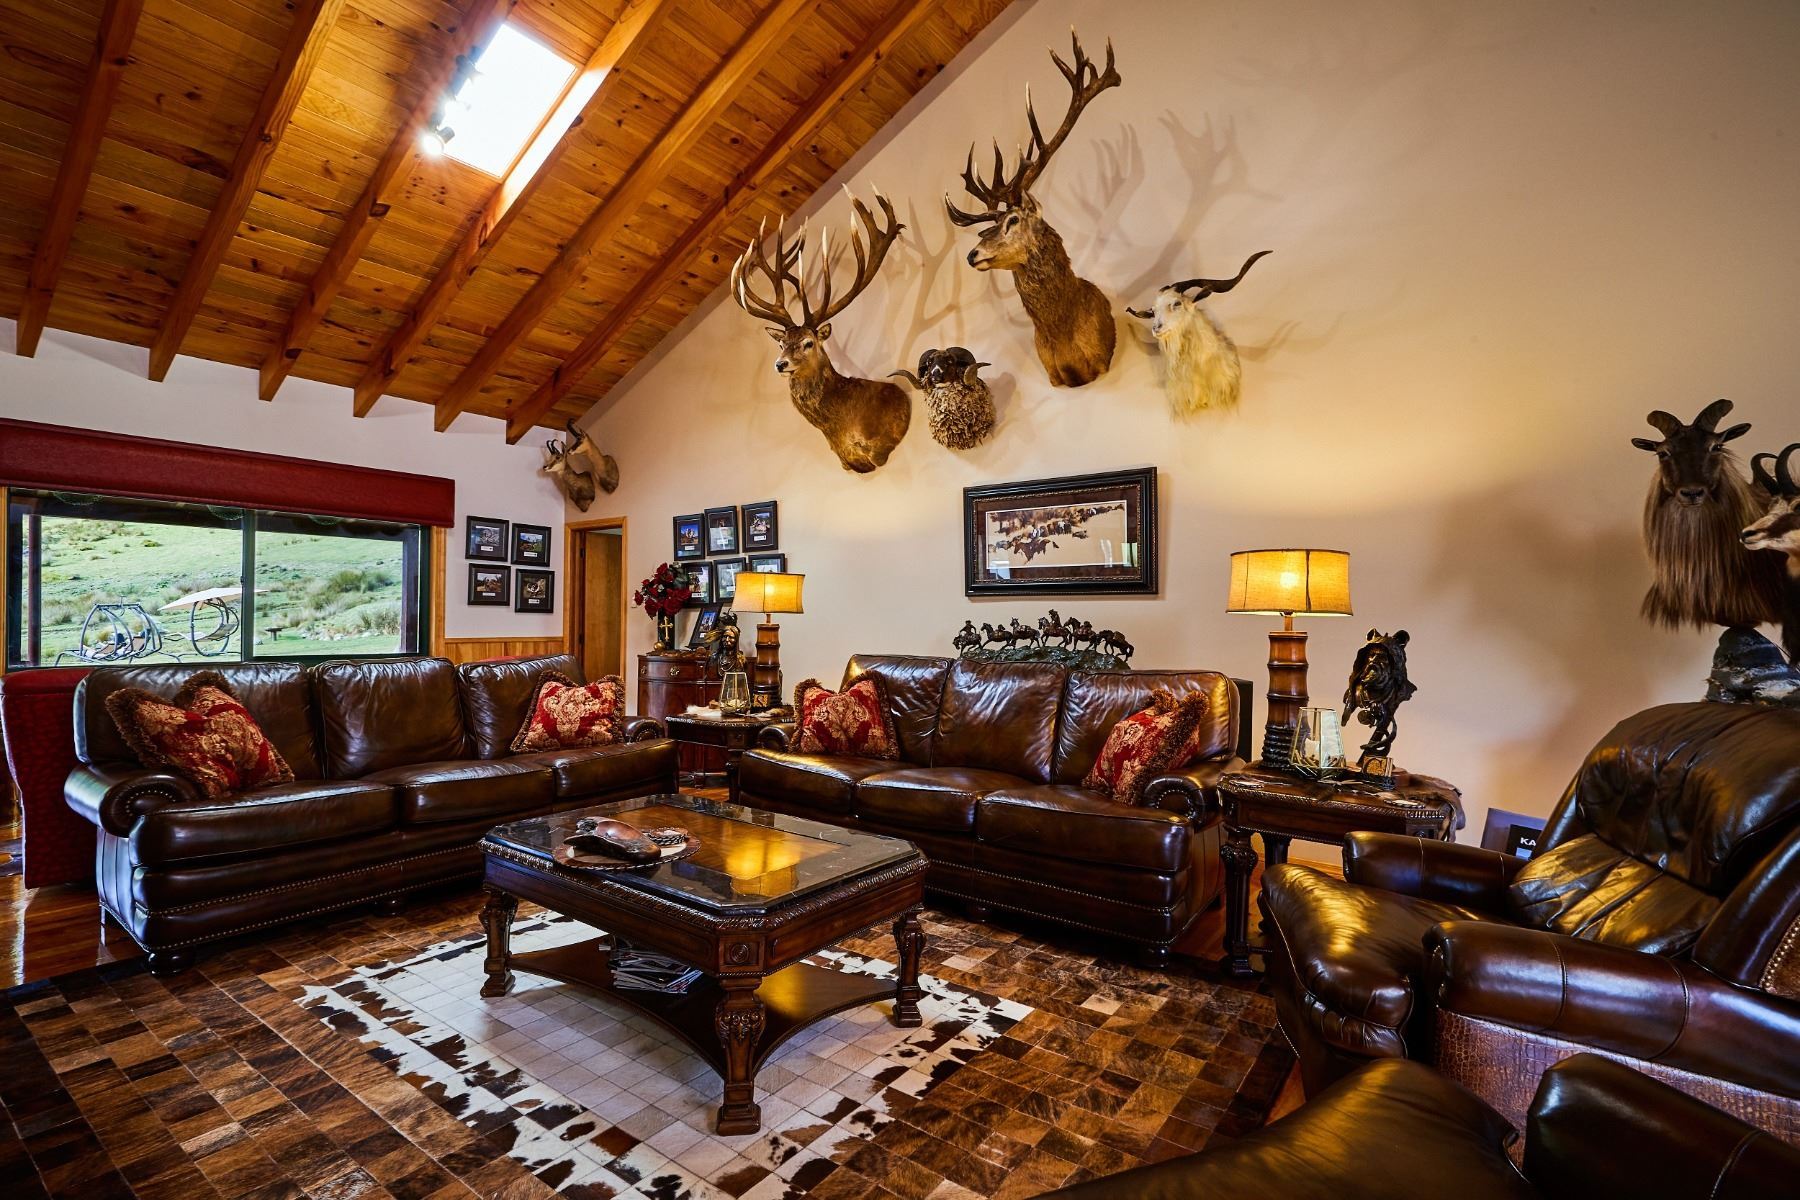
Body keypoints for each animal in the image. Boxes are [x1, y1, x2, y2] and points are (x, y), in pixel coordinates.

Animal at [945, 31, 1122, 388]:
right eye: (987, 229)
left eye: (1013, 220)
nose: (972, 254)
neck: (1064, 338)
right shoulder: (1053, 376)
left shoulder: (1100, 363)